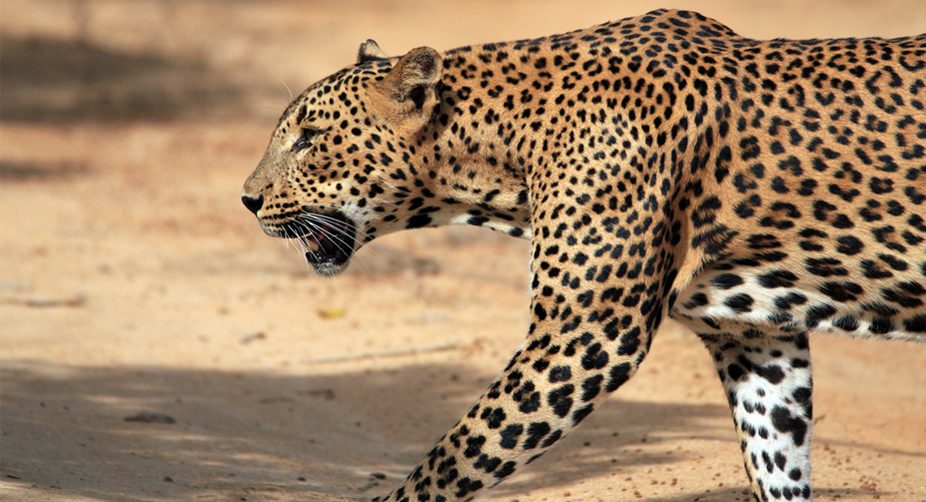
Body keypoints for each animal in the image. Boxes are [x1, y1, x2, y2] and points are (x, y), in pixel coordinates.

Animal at [241, 9, 926, 502]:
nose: (247, 200)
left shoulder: (585, 331)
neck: (501, 154)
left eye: (309, 139)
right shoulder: (754, 337)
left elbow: (459, 453)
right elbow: (777, 458)